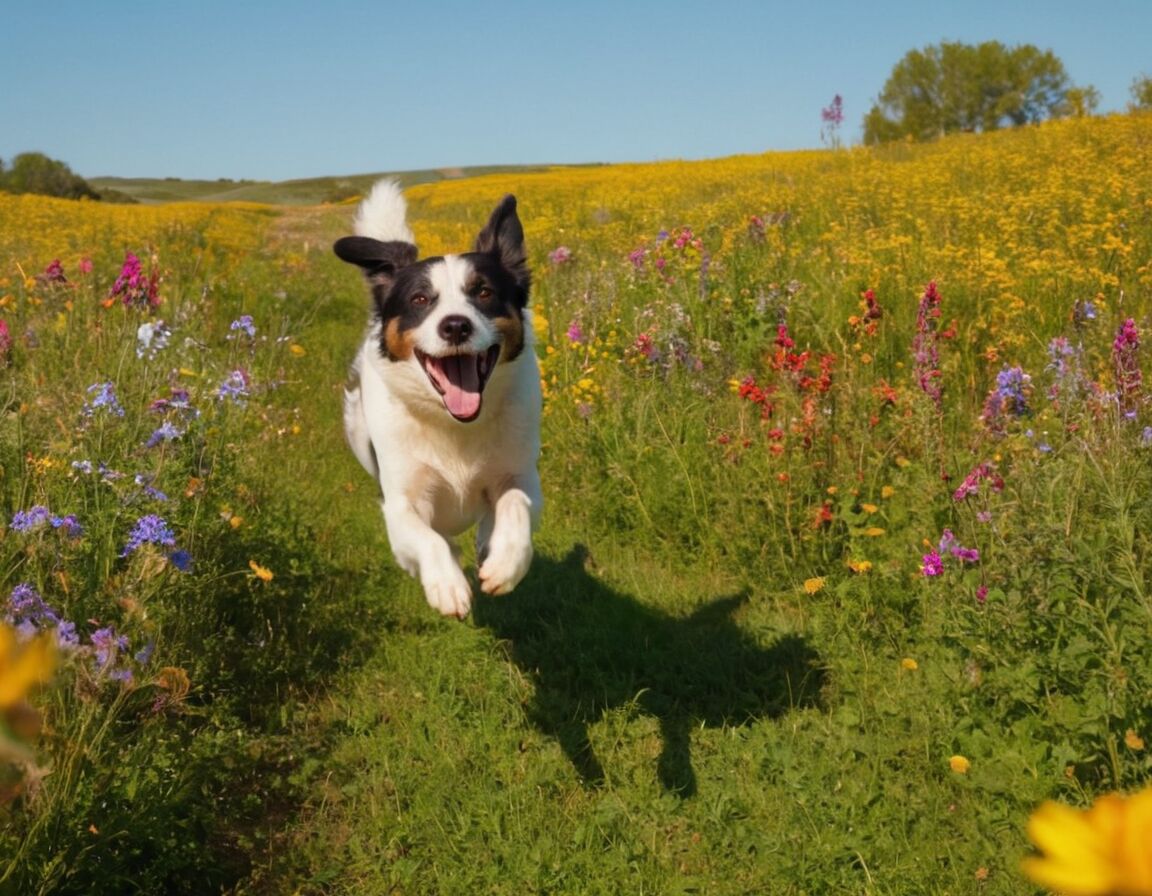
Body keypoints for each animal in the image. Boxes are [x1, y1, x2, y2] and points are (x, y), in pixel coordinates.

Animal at [336, 180, 541, 612]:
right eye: (419, 299)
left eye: (483, 292)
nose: (456, 326)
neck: (454, 424)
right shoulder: (400, 502)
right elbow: (426, 537)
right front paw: (446, 583)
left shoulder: (524, 476)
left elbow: (516, 502)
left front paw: (504, 562)